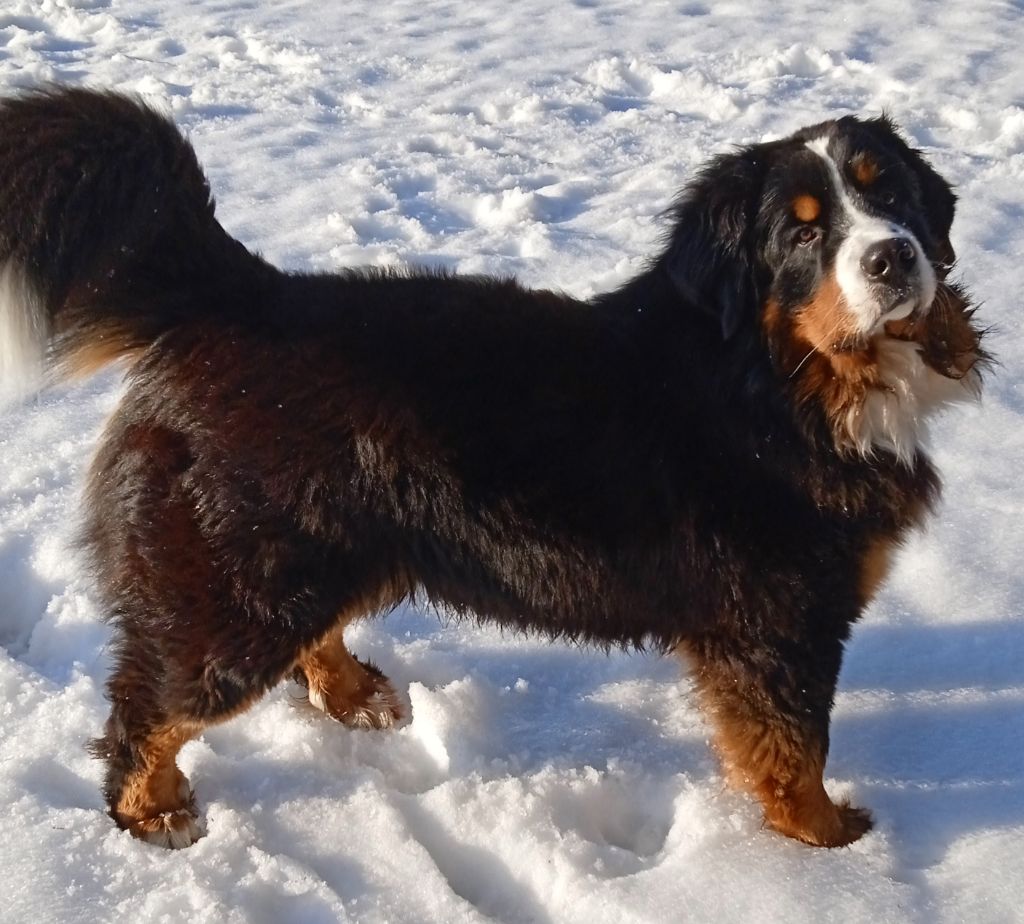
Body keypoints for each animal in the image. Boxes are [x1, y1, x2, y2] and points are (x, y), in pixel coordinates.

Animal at [0, 86, 987, 849]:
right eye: (802, 235)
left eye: (892, 193)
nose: (893, 257)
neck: (777, 382)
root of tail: (243, 292)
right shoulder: (780, 624)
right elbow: (794, 749)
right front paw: (830, 846)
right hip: (239, 591)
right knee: (147, 705)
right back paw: (152, 810)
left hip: (330, 551)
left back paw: (353, 692)